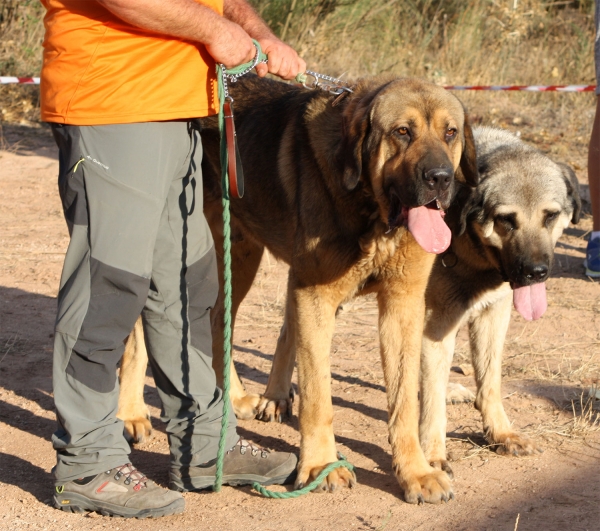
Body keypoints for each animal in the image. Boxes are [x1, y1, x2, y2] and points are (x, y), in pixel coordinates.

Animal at [117, 74, 476, 502]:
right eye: (402, 132)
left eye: (450, 132)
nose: (439, 178)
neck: (369, 211)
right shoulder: (314, 299)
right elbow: (318, 398)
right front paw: (321, 466)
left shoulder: (402, 305)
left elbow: (404, 401)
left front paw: (416, 472)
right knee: (142, 331)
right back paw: (130, 413)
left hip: (239, 256)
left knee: (220, 320)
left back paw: (233, 399)